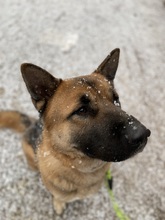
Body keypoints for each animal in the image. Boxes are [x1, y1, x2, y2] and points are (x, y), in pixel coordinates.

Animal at [0, 48, 151, 215]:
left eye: (116, 100)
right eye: (82, 110)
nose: (143, 134)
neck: (82, 168)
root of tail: (32, 124)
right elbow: (57, 197)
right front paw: (59, 204)